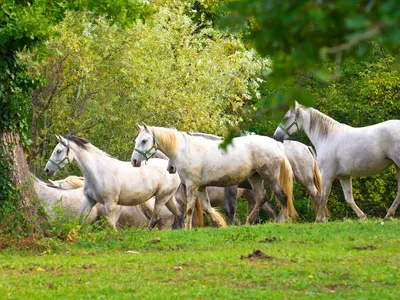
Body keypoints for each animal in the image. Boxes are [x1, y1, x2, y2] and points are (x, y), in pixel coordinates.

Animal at [43, 135, 183, 229]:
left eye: (58, 151)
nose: (47, 170)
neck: (98, 171)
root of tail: (172, 168)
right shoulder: (90, 200)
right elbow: (82, 219)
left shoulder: (111, 204)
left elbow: (111, 225)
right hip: (167, 198)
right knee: (179, 214)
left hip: (161, 198)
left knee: (156, 220)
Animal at [132, 123, 296, 227]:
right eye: (136, 140)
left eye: (144, 140)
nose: (134, 161)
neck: (187, 150)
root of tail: (275, 144)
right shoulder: (200, 188)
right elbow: (207, 208)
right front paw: (219, 224)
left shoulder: (192, 186)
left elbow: (190, 209)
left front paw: (187, 228)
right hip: (255, 178)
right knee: (261, 198)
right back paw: (248, 222)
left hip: (270, 177)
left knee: (282, 197)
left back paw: (282, 221)